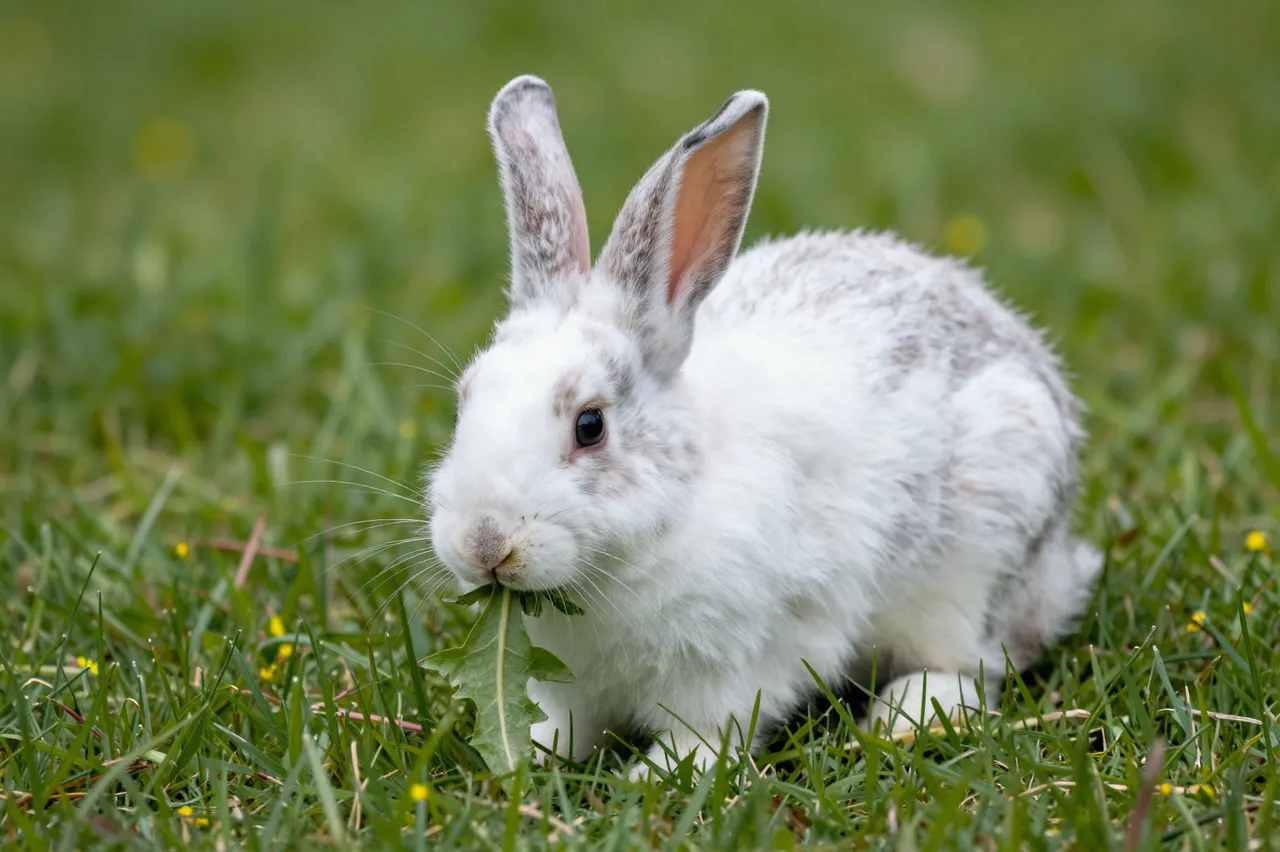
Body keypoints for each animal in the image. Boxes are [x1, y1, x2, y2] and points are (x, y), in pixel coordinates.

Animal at [426, 74, 1102, 776]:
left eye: (590, 426)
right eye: (464, 401)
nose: (484, 543)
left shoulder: (728, 669)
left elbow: (707, 732)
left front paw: (660, 774)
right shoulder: (569, 685)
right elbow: (563, 725)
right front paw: (529, 753)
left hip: (977, 558)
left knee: (979, 662)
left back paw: (907, 713)